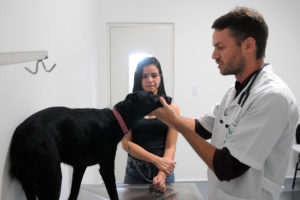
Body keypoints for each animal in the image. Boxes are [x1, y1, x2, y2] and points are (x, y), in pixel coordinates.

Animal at [9, 91, 171, 200]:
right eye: (151, 95)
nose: (170, 98)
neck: (115, 119)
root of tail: (22, 131)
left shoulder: (80, 167)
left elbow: (74, 192)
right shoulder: (106, 167)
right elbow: (113, 193)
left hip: (29, 181)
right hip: (52, 176)